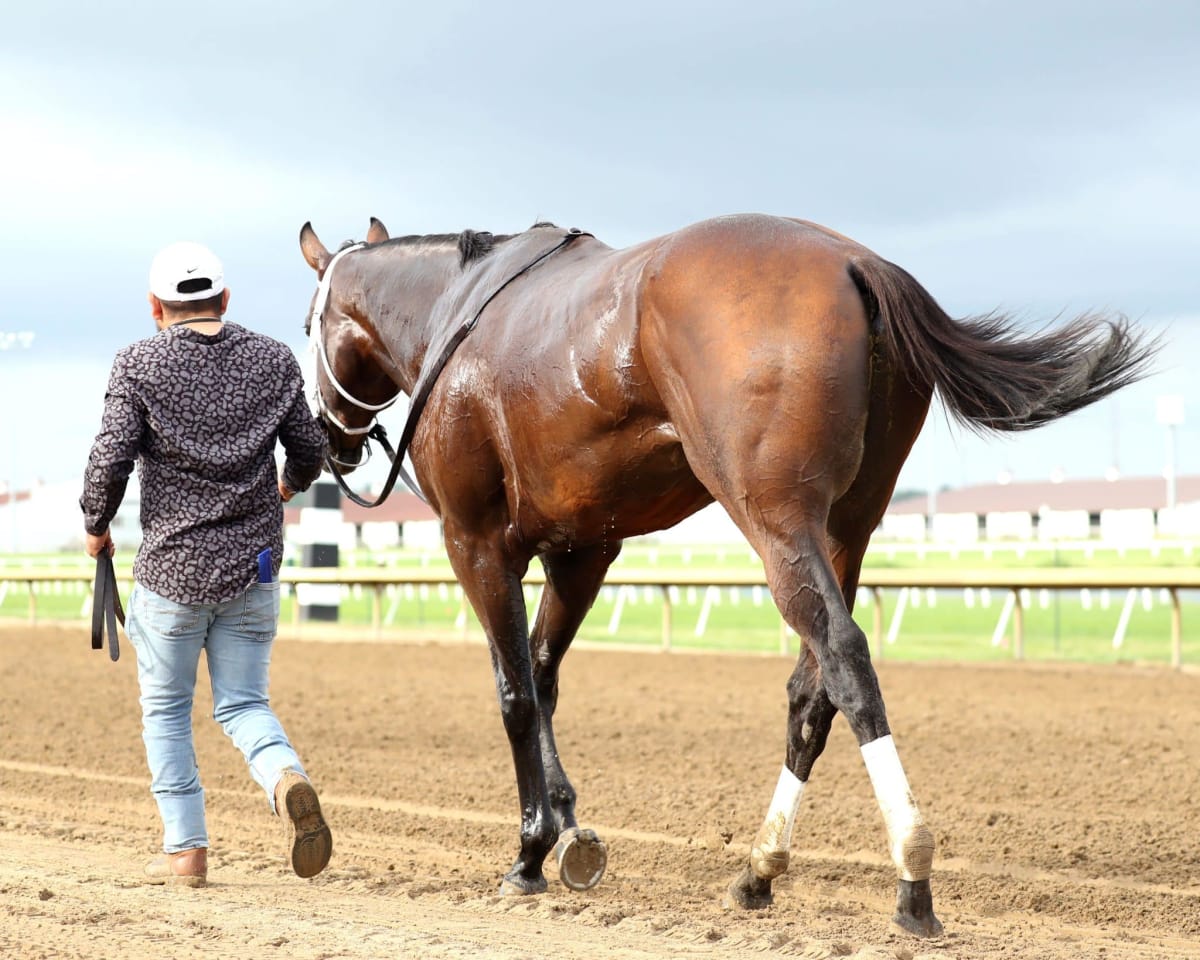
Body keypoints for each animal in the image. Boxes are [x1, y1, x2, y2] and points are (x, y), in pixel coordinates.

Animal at [298, 213, 1155, 937]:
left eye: (308, 323)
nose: (331, 442)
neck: (460, 318)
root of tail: (859, 266)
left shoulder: (474, 541)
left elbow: (514, 692)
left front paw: (531, 849)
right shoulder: (583, 551)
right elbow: (543, 679)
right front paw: (570, 832)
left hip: (775, 520)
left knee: (845, 659)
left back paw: (912, 876)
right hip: (844, 530)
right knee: (812, 691)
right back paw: (759, 869)